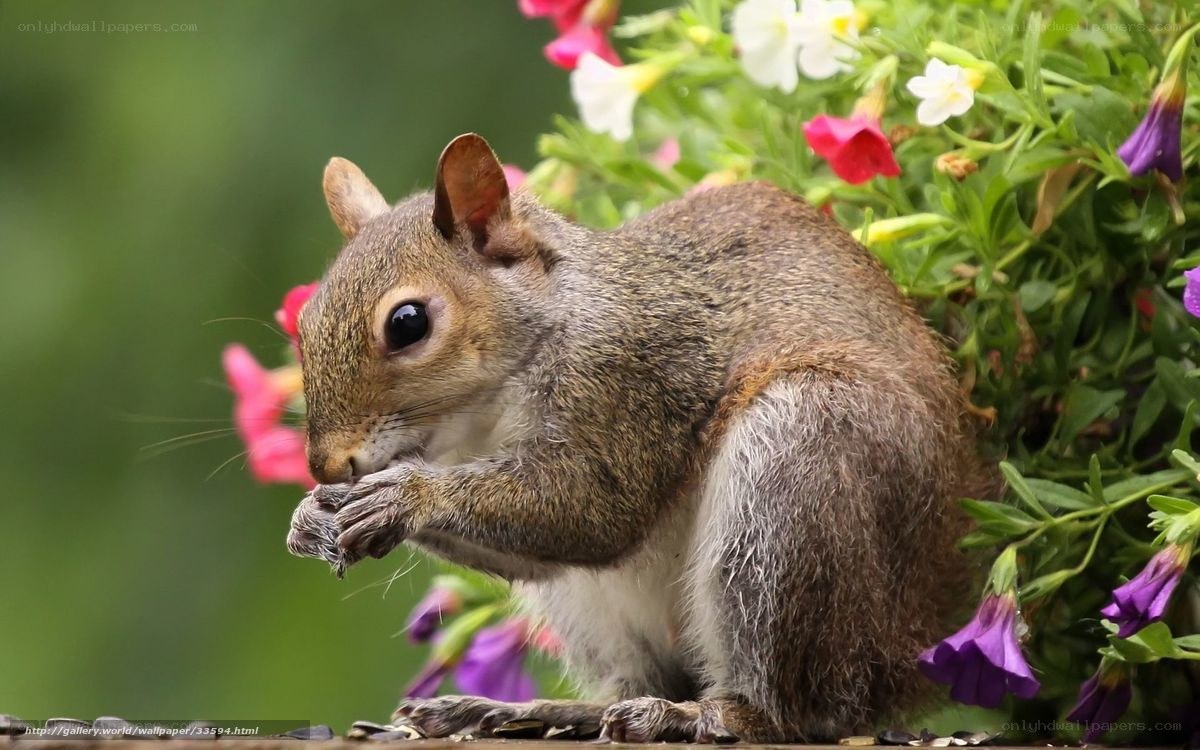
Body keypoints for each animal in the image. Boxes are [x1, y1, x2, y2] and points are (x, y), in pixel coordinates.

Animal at [286, 133, 989, 743]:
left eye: (408, 323)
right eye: (305, 318)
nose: (326, 466)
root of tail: (912, 639)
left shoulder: (631, 378)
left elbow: (596, 511)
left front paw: (404, 498)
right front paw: (312, 517)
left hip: (797, 477)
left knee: (802, 710)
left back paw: (701, 716)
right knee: (639, 679)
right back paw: (538, 711)